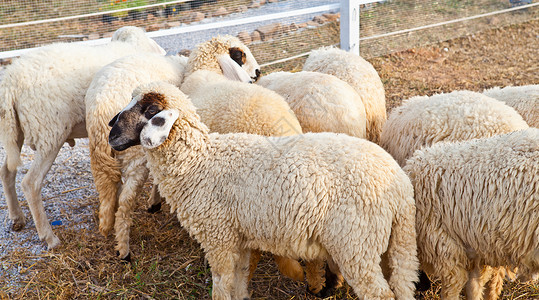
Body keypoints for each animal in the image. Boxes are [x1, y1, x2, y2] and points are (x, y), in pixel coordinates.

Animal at [0, 26, 167, 251]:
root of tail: (10, 82)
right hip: (49, 132)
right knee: (30, 183)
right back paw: (49, 238)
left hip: (14, 132)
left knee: (7, 172)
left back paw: (17, 217)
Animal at [85, 51, 189, 260]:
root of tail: (100, 110)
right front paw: (154, 203)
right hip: (135, 159)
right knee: (125, 204)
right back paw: (124, 250)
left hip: (99, 159)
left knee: (108, 195)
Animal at [105, 80, 418, 300]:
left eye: (149, 111)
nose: (111, 132)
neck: (199, 162)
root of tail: (401, 188)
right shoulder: (240, 238)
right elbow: (240, 280)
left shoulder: (219, 238)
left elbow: (221, 284)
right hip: (389, 242)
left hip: (357, 244)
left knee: (379, 293)